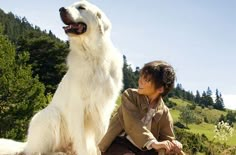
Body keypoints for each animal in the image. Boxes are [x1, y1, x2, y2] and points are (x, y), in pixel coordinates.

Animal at [0, 0, 121, 154]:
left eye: (81, 7)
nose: (61, 9)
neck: (92, 56)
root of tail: (26, 144)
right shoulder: (78, 107)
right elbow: (81, 140)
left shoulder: (105, 107)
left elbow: (101, 138)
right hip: (51, 115)